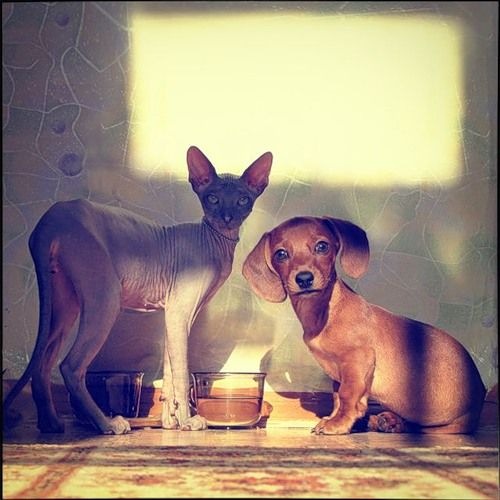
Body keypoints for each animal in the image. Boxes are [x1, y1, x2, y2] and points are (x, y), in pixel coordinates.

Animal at [3, 145, 273, 434]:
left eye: (243, 200)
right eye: (212, 198)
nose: (227, 217)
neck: (217, 243)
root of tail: (50, 218)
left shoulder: (173, 314)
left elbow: (169, 370)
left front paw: (170, 423)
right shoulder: (179, 312)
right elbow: (181, 372)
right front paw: (187, 422)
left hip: (64, 304)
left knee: (42, 363)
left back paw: (51, 424)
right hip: (106, 296)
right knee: (70, 366)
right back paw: (107, 424)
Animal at [243, 216, 486, 434]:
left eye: (322, 246)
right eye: (281, 254)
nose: (304, 278)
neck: (325, 313)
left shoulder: (358, 359)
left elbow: (348, 396)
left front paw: (338, 424)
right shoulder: (337, 375)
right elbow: (337, 398)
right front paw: (334, 418)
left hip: (445, 424)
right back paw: (388, 421)